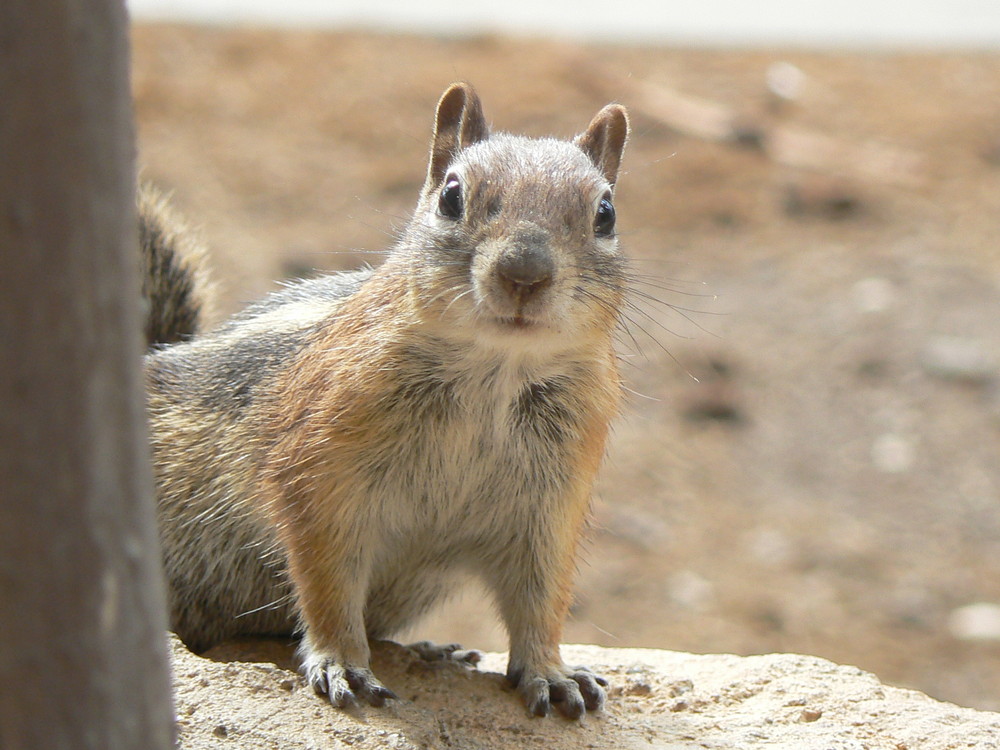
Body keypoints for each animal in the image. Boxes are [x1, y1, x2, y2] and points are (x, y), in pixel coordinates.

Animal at [145, 83, 628, 724]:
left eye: (606, 213)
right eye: (451, 196)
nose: (525, 274)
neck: (495, 371)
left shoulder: (550, 505)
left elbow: (541, 598)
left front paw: (551, 672)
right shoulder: (320, 475)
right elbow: (327, 579)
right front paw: (340, 660)